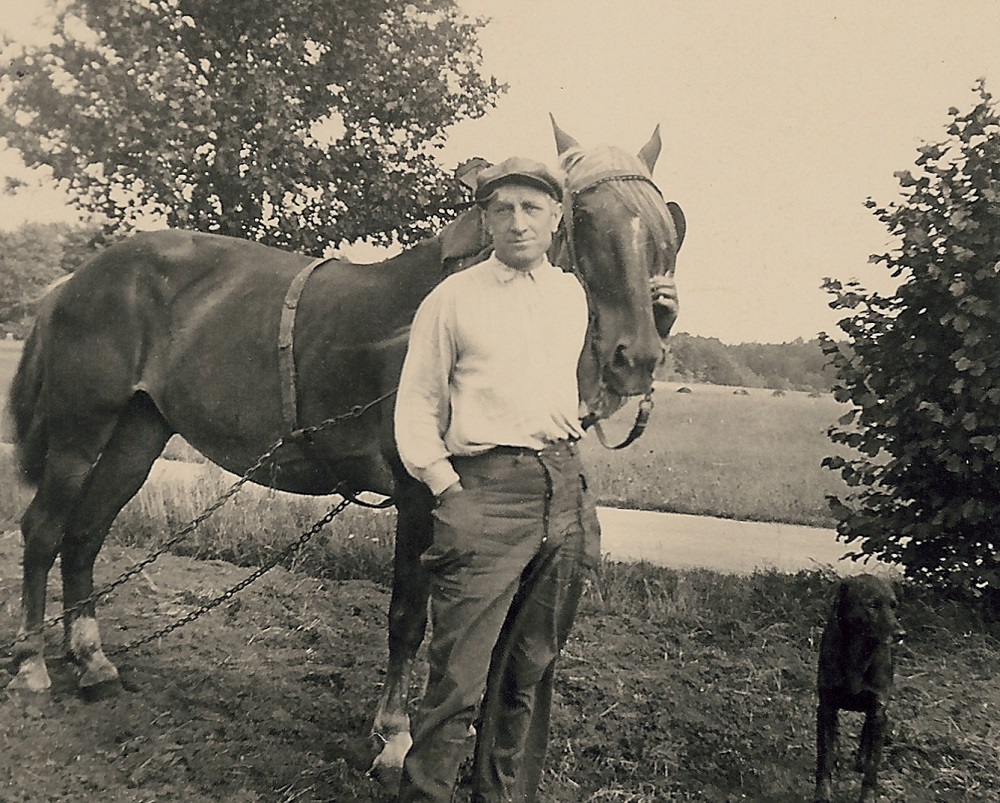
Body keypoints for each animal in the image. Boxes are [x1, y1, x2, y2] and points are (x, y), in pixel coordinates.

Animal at [3, 119, 684, 772]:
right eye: (585, 218)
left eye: (662, 229)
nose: (637, 357)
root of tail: (74, 280)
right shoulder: (418, 494)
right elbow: (408, 615)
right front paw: (394, 737)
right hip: (80, 431)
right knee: (43, 528)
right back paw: (32, 661)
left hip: (137, 434)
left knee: (86, 533)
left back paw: (92, 662)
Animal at [812, 576, 908, 800]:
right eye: (872, 605)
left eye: (893, 605)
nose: (901, 634)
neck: (859, 651)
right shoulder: (826, 707)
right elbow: (824, 756)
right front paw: (823, 793)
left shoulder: (877, 708)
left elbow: (873, 764)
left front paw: (868, 796)